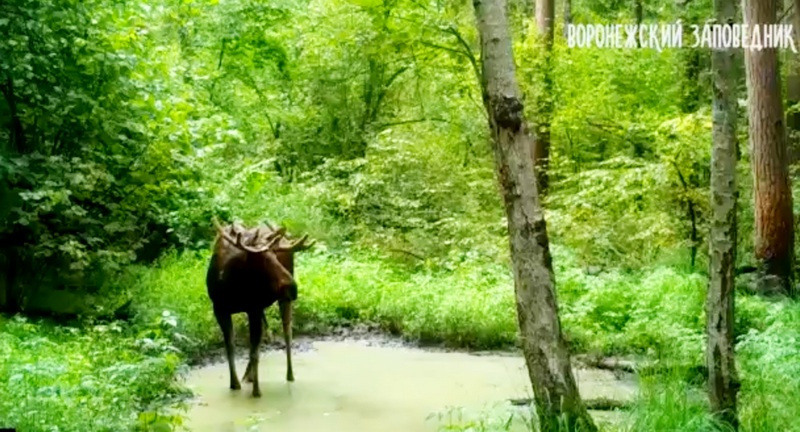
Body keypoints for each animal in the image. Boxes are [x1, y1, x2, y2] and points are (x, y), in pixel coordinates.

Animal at [206, 218, 312, 396]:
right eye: (263, 260)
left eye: (276, 256)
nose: (293, 287)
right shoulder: (220, 308)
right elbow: (230, 347)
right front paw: (234, 384)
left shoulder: (253, 308)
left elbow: (254, 352)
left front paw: (256, 392)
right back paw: (247, 376)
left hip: (282, 300)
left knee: (287, 332)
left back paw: (289, 375)